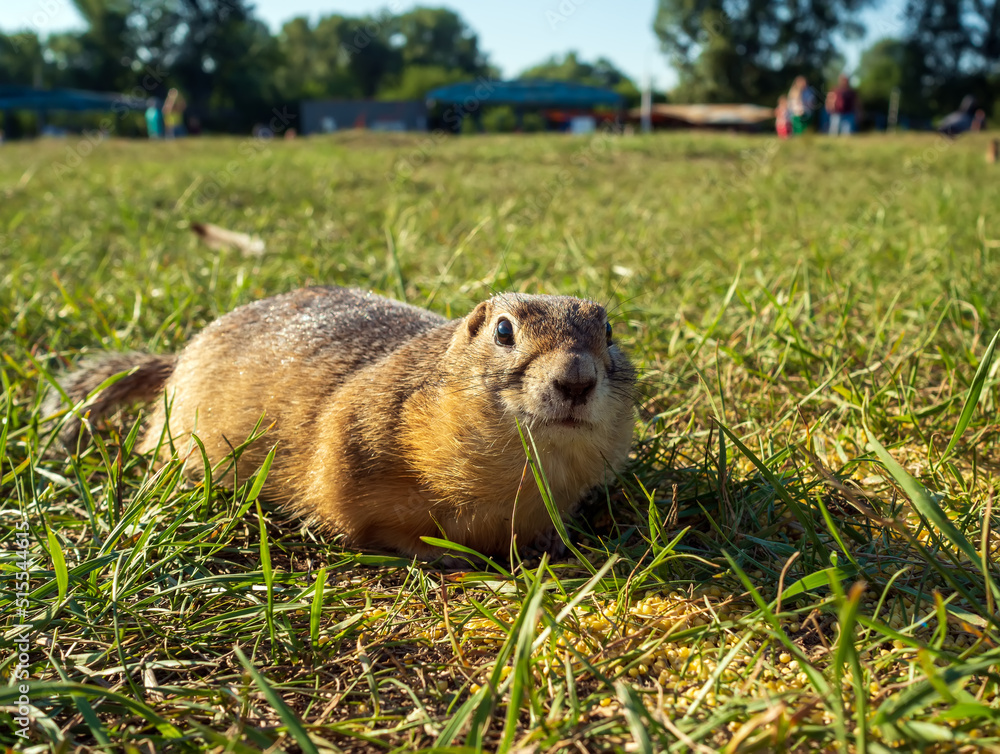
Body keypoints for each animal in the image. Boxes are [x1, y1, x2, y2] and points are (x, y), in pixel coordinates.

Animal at [47, 284, 636, 556]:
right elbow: (371, 525)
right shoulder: (353, 447)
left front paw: (550, 541)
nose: (576, 380)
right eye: (504, 331)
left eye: (608, 332)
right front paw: (436, 552)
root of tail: (177, 360)